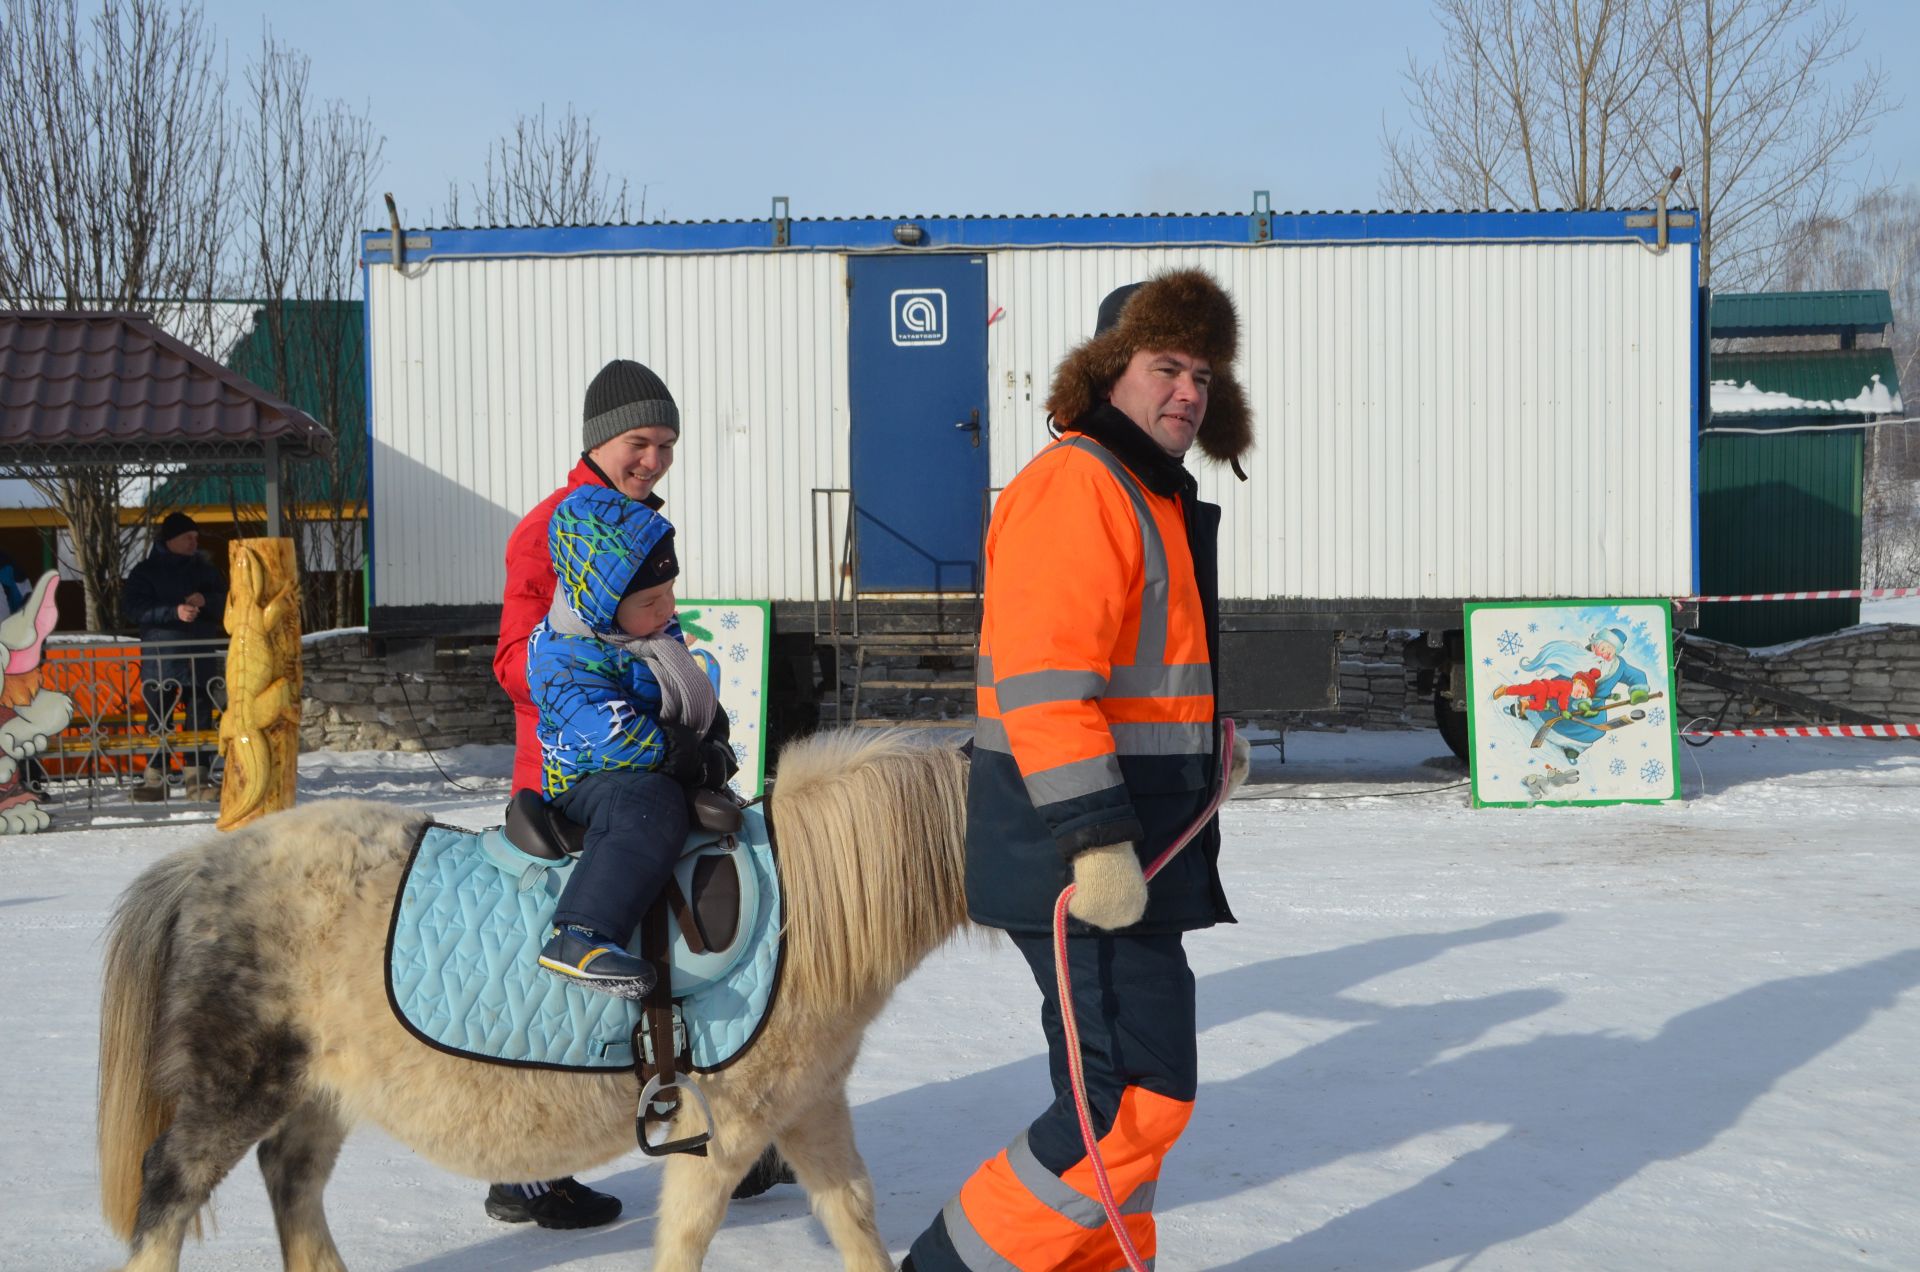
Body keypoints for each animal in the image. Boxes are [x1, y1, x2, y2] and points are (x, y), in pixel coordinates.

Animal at [97, 726, 967, 1272]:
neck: (806, 910)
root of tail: (203, 864)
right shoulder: (725, 1121)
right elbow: (687, 1235)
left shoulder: (810, 1105)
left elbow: (852, 1213)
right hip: (238, 1085)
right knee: (169, 1188)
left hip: (322, 1087)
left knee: (293, 1181)